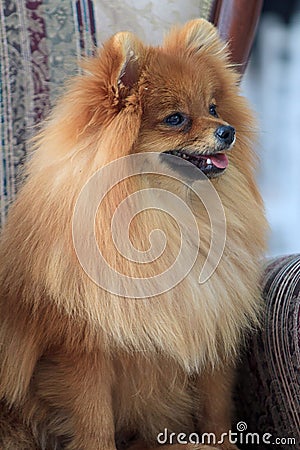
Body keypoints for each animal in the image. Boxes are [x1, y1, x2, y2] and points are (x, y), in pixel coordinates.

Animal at [0, 18, 266, 450]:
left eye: (212, 108)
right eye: (176, 118)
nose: (228, 130)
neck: (168, 218)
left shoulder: (211, 336)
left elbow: (216, 412)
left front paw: (223, 444)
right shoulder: (82, 354)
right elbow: (94, 424)